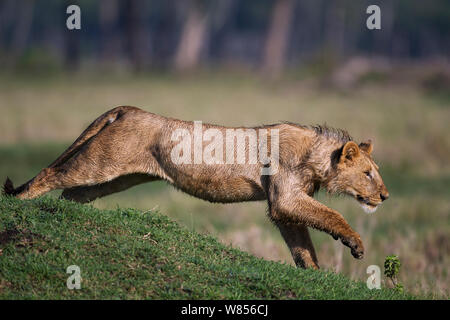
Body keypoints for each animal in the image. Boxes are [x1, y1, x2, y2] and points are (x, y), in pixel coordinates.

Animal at [2, 106, 390, 268]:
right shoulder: (285, 199)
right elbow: (332, 215)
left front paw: (313, 274)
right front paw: (355, 244)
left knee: (71, 194)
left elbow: (302, 246)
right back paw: (20, 202)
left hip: (115, 178)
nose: (385, 195)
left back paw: (64, 210)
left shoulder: (284, 208)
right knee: (52, 175)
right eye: (369, 173)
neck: (319, 159)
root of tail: (128, 109)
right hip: (98, 164)